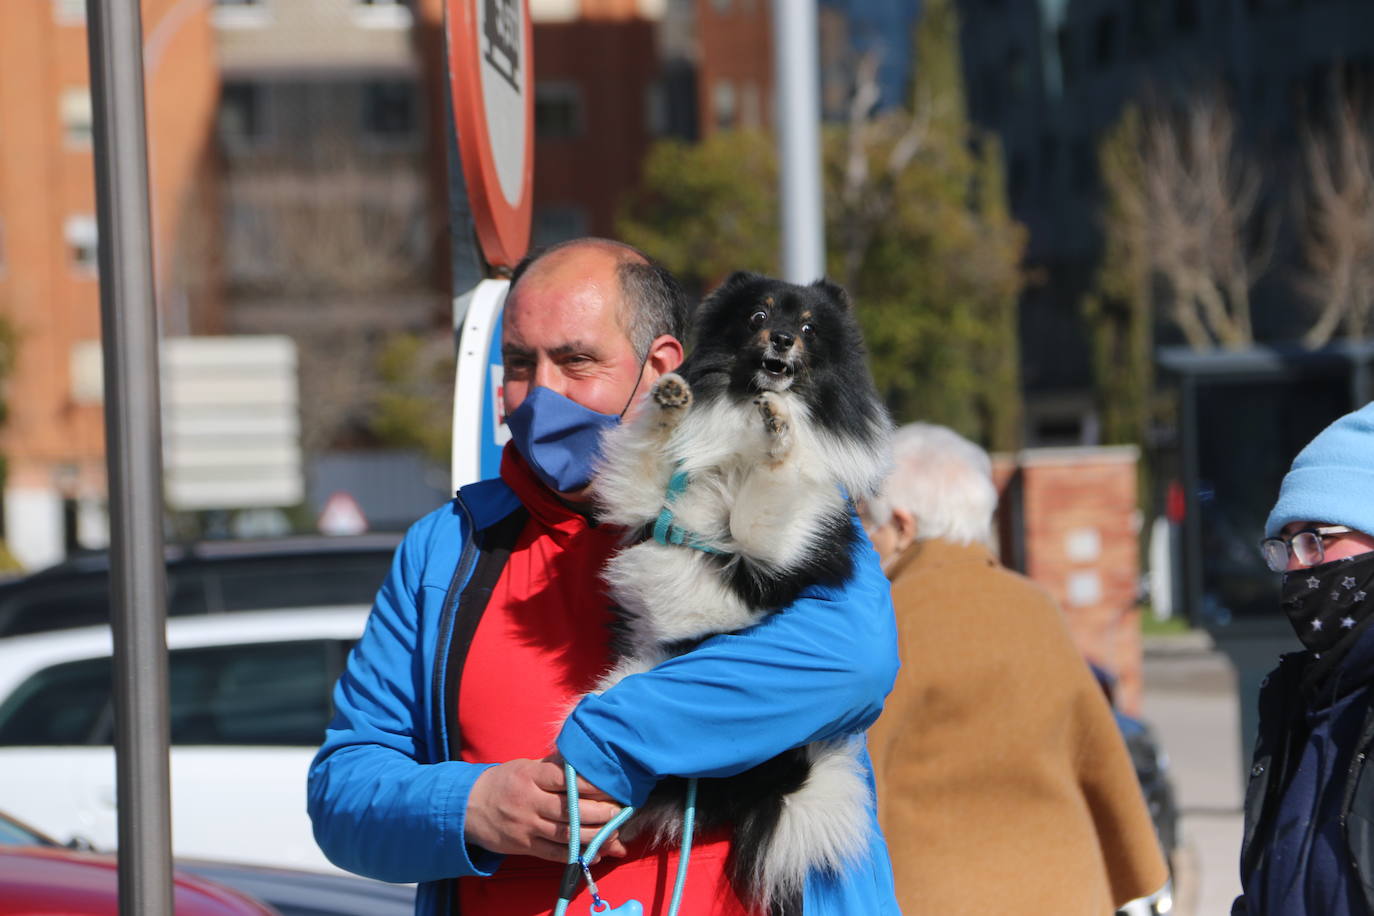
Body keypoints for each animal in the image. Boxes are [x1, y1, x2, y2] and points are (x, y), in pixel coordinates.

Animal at [588, 270, 890, 911]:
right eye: (758, 316)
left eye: (809, 329)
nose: (782, 339)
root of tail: (775, 783)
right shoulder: (646, 505)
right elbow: (653, 455)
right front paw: (670, 400)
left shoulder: (776, 556)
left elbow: (773, 487)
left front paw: (779, 430)